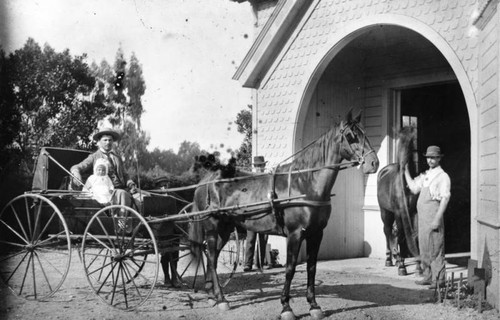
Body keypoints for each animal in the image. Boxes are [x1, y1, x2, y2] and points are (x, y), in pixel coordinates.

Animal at [188, 110, 378, 320]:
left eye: (365, 132)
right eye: (352, 136)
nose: (374, 163)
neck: (305, 184)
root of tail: (205, 181)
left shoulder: (316, 234)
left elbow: (311, 267)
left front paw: (313, 305)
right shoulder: (295, 234)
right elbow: (290, 268)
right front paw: (286, 307)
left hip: (225, 229)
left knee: (211, 256)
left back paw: (212, 296)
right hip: (213, 228)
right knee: (212, 257)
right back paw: (221, 299)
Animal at [376, 127, 420, 276]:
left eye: (412, 142)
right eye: (400, 140)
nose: (403, 165)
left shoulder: (413, 211)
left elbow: (414, 235)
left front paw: (418, 266)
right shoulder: (399, 212)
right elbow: (401, 235)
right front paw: (402, 267)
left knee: (393, 232)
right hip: (385, 212)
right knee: (387, 230)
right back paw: (389, 259)